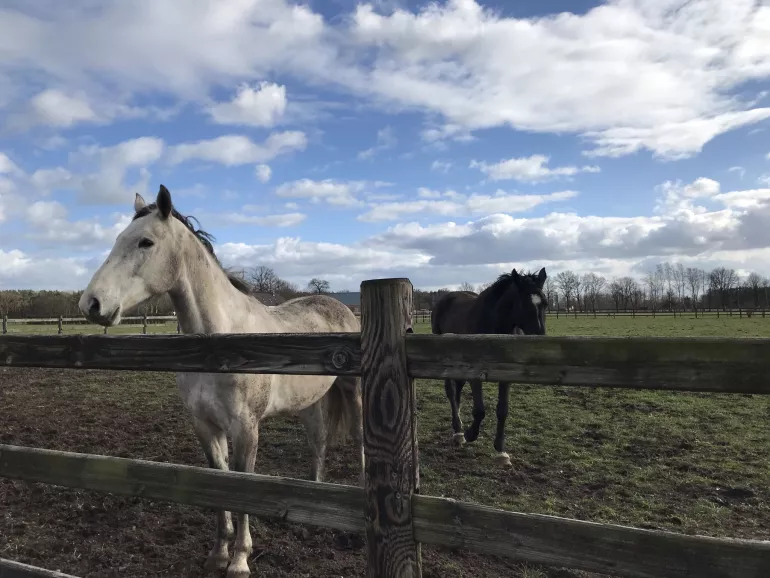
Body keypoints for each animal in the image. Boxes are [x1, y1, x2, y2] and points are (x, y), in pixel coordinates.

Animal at [78, 185, 363, 578]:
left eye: (145, 242)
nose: (91, 303)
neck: (220, 344)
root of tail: (339, 306)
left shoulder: (246, 429)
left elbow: (242, 487)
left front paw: (240, 560)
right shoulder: (205, 426)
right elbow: (219, 482)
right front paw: (218, 553)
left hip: (354, 391)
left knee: (360, 442)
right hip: (310, 403)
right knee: (318, 443)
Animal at [430, 268, 548, 466]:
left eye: (545, 304)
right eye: (524, 303)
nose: (540, 340)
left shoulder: (506, 375)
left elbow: (503, 410)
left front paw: (501, 451)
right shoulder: (475, 373)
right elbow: (479, 410)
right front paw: (470, 434)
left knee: (457, 390)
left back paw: (458, 428)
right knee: (451, 392)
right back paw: (459, 431)